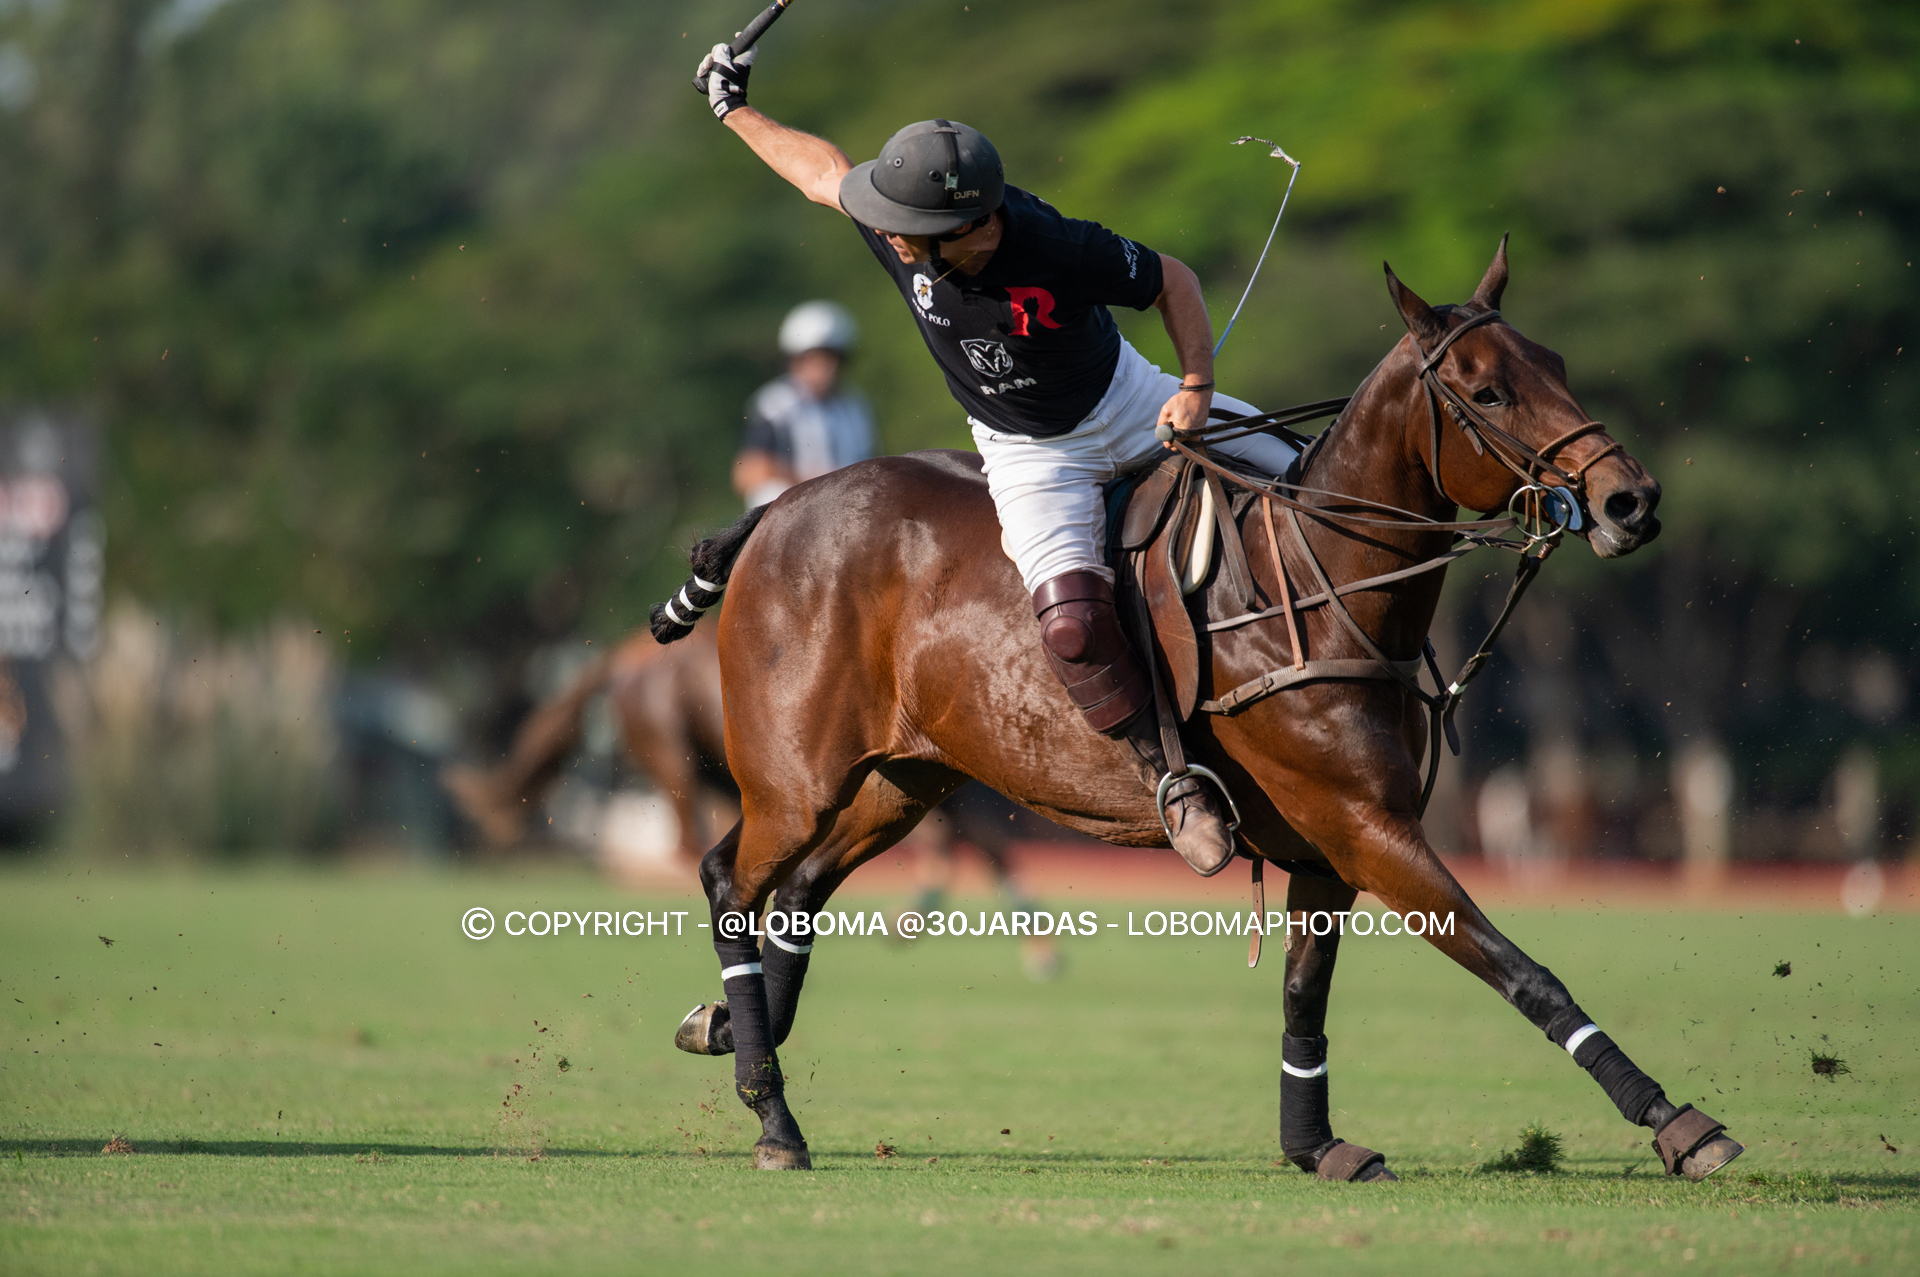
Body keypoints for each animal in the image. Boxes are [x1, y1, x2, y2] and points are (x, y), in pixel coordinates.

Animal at [656, 245, 1743, 1182]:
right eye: (1486, 391)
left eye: (1555, 364)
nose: (1630, 499)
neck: (1326, 583)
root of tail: (775, 510)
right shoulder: (1370, 827)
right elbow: (1524, 969)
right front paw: (1679, 1122)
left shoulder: (1327, 848)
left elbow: (1304, 992)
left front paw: (1317, 1144)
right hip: (796, 777)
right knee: (729, 880)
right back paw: (773, 1113)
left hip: (898, 780)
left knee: (796, 894)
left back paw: (728, 1028)